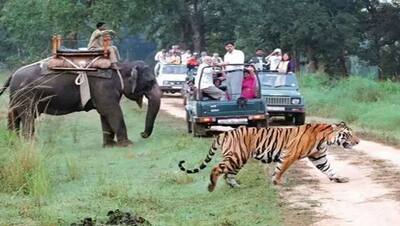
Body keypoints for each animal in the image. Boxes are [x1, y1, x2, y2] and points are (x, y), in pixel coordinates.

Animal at [0, 60, 162, 147]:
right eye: (150, 82)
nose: (142, 134)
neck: (120, 67)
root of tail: (13, 74)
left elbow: (105, 113)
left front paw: (110, 146)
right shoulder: (104, 87)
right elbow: (112, 111)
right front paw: (128, 145)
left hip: (17, 96)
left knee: (15, 116)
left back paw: (15, 143)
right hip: (26, 95)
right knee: (27, 116)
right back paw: (30, 144)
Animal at [178, 122, 360, 192]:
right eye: (348, 134)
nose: (358, 142)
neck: (325, 139)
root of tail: (225, 133)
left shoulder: (318, 157)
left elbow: (328, 169)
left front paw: (339, 178)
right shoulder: (290, 154)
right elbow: (281, 169)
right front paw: (277, 182)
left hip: (238, 160)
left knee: (228, 174)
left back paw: (236, 186)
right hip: (237, 157)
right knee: (217, 169)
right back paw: (211, 187)